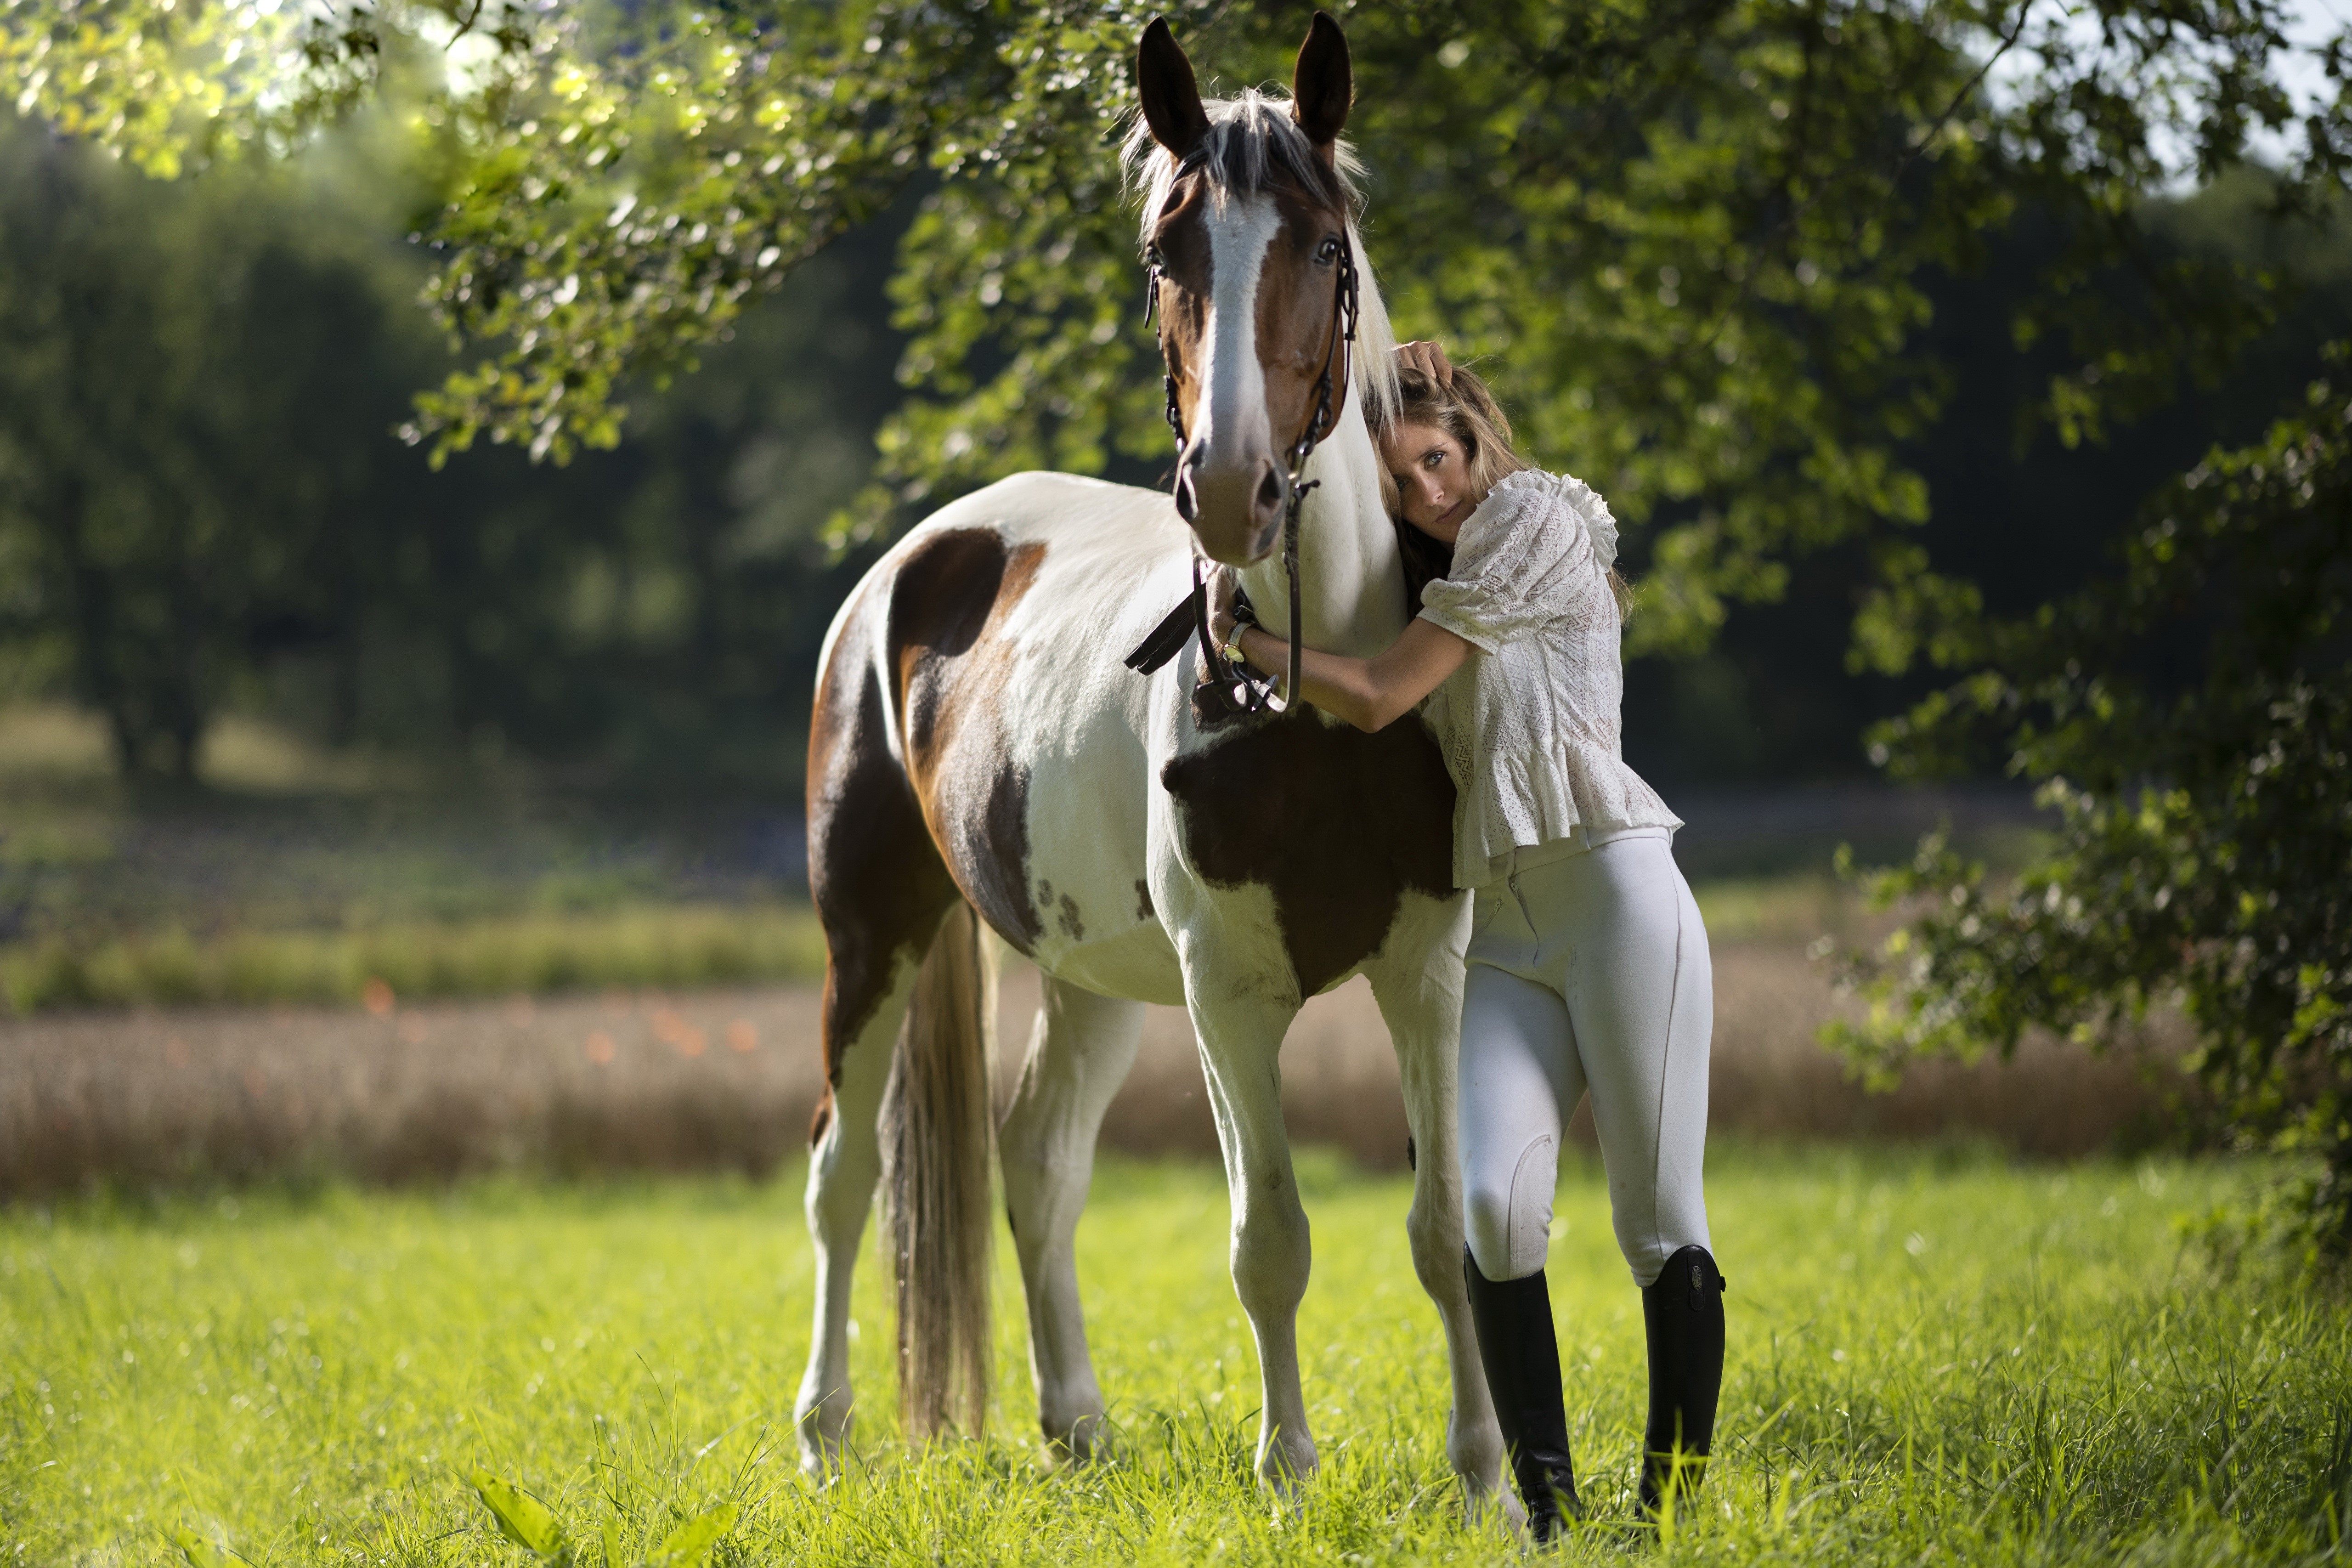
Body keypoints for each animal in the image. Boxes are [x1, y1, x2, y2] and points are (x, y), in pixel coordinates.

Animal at [791, 13, 1510, 1507]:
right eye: (1165, 249)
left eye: (1322, 244)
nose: (1230, 488)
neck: (1316, 704)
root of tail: (908, 564)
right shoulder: (1229, 996)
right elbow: (1270, 1238)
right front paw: (1287, 1468)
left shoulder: (1424, 972)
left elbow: (1435, 1229)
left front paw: (1483, 1475)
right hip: (871, 931)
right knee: (841, 1177)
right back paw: (824, 1436)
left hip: (1088, 978)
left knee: (1036, 1162)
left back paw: (1074, 1424)